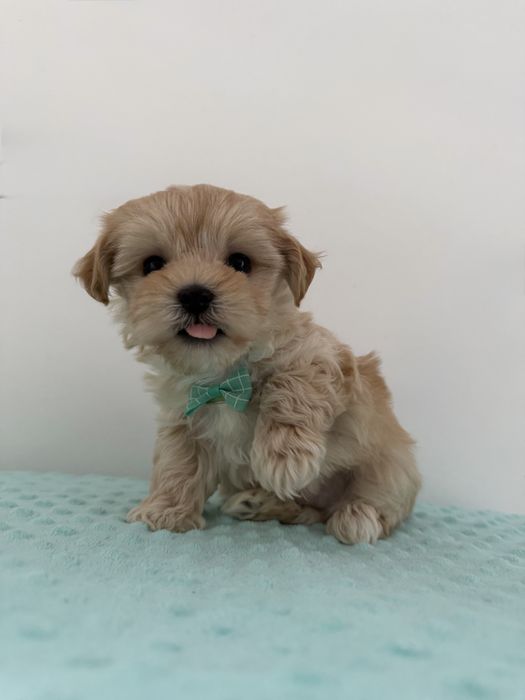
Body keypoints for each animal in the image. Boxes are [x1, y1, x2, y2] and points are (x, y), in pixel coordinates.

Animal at [74, 184, 421, 544]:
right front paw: (165, 511)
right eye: (152, 264)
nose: (195, 295)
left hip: (393, 466)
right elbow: (177, 461)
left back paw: (358, 515)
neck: (223, 377)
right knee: (308, 512)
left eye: (240, 262)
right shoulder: (182, 417)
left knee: (381, 500)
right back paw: (259, 503)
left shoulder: (325, 356)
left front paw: (284, 457)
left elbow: (291, 385)